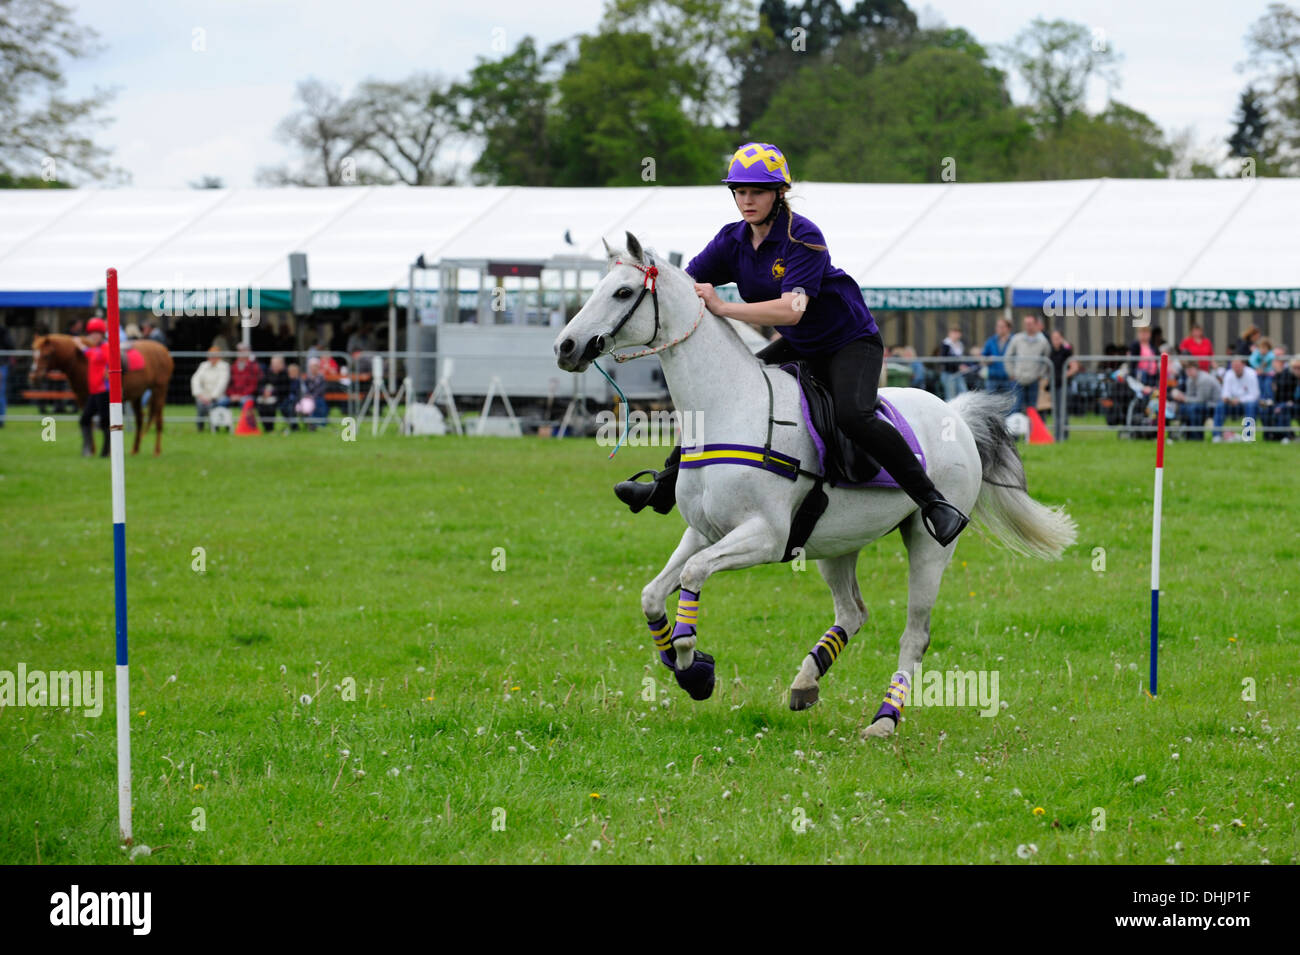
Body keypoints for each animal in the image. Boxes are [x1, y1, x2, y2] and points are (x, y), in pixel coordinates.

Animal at [31, 335, 174, 457]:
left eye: (46, 355)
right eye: (34, 354)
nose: (33, 377)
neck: (82, 362)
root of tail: (163, 349)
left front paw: (104, 451)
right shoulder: (82, 398)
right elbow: (88, 422)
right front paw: (91, 450)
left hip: (159, 390)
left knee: (158, 420)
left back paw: (156, 451)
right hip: (137, 394)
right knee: (140, 419)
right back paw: (135, 450)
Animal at [553, 233, 1071, 738]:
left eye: (622, 292)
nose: (566, 346)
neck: (729, 407)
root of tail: (956, 414)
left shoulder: (764, 536)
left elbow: (693, 577)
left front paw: (692, 665)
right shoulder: (704, 533)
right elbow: (653, 594)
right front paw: (686, 664)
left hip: (928, 546)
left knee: (915, 634)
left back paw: (885, 718)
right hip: (836, 544)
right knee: (852, 612)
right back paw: (806, 681)